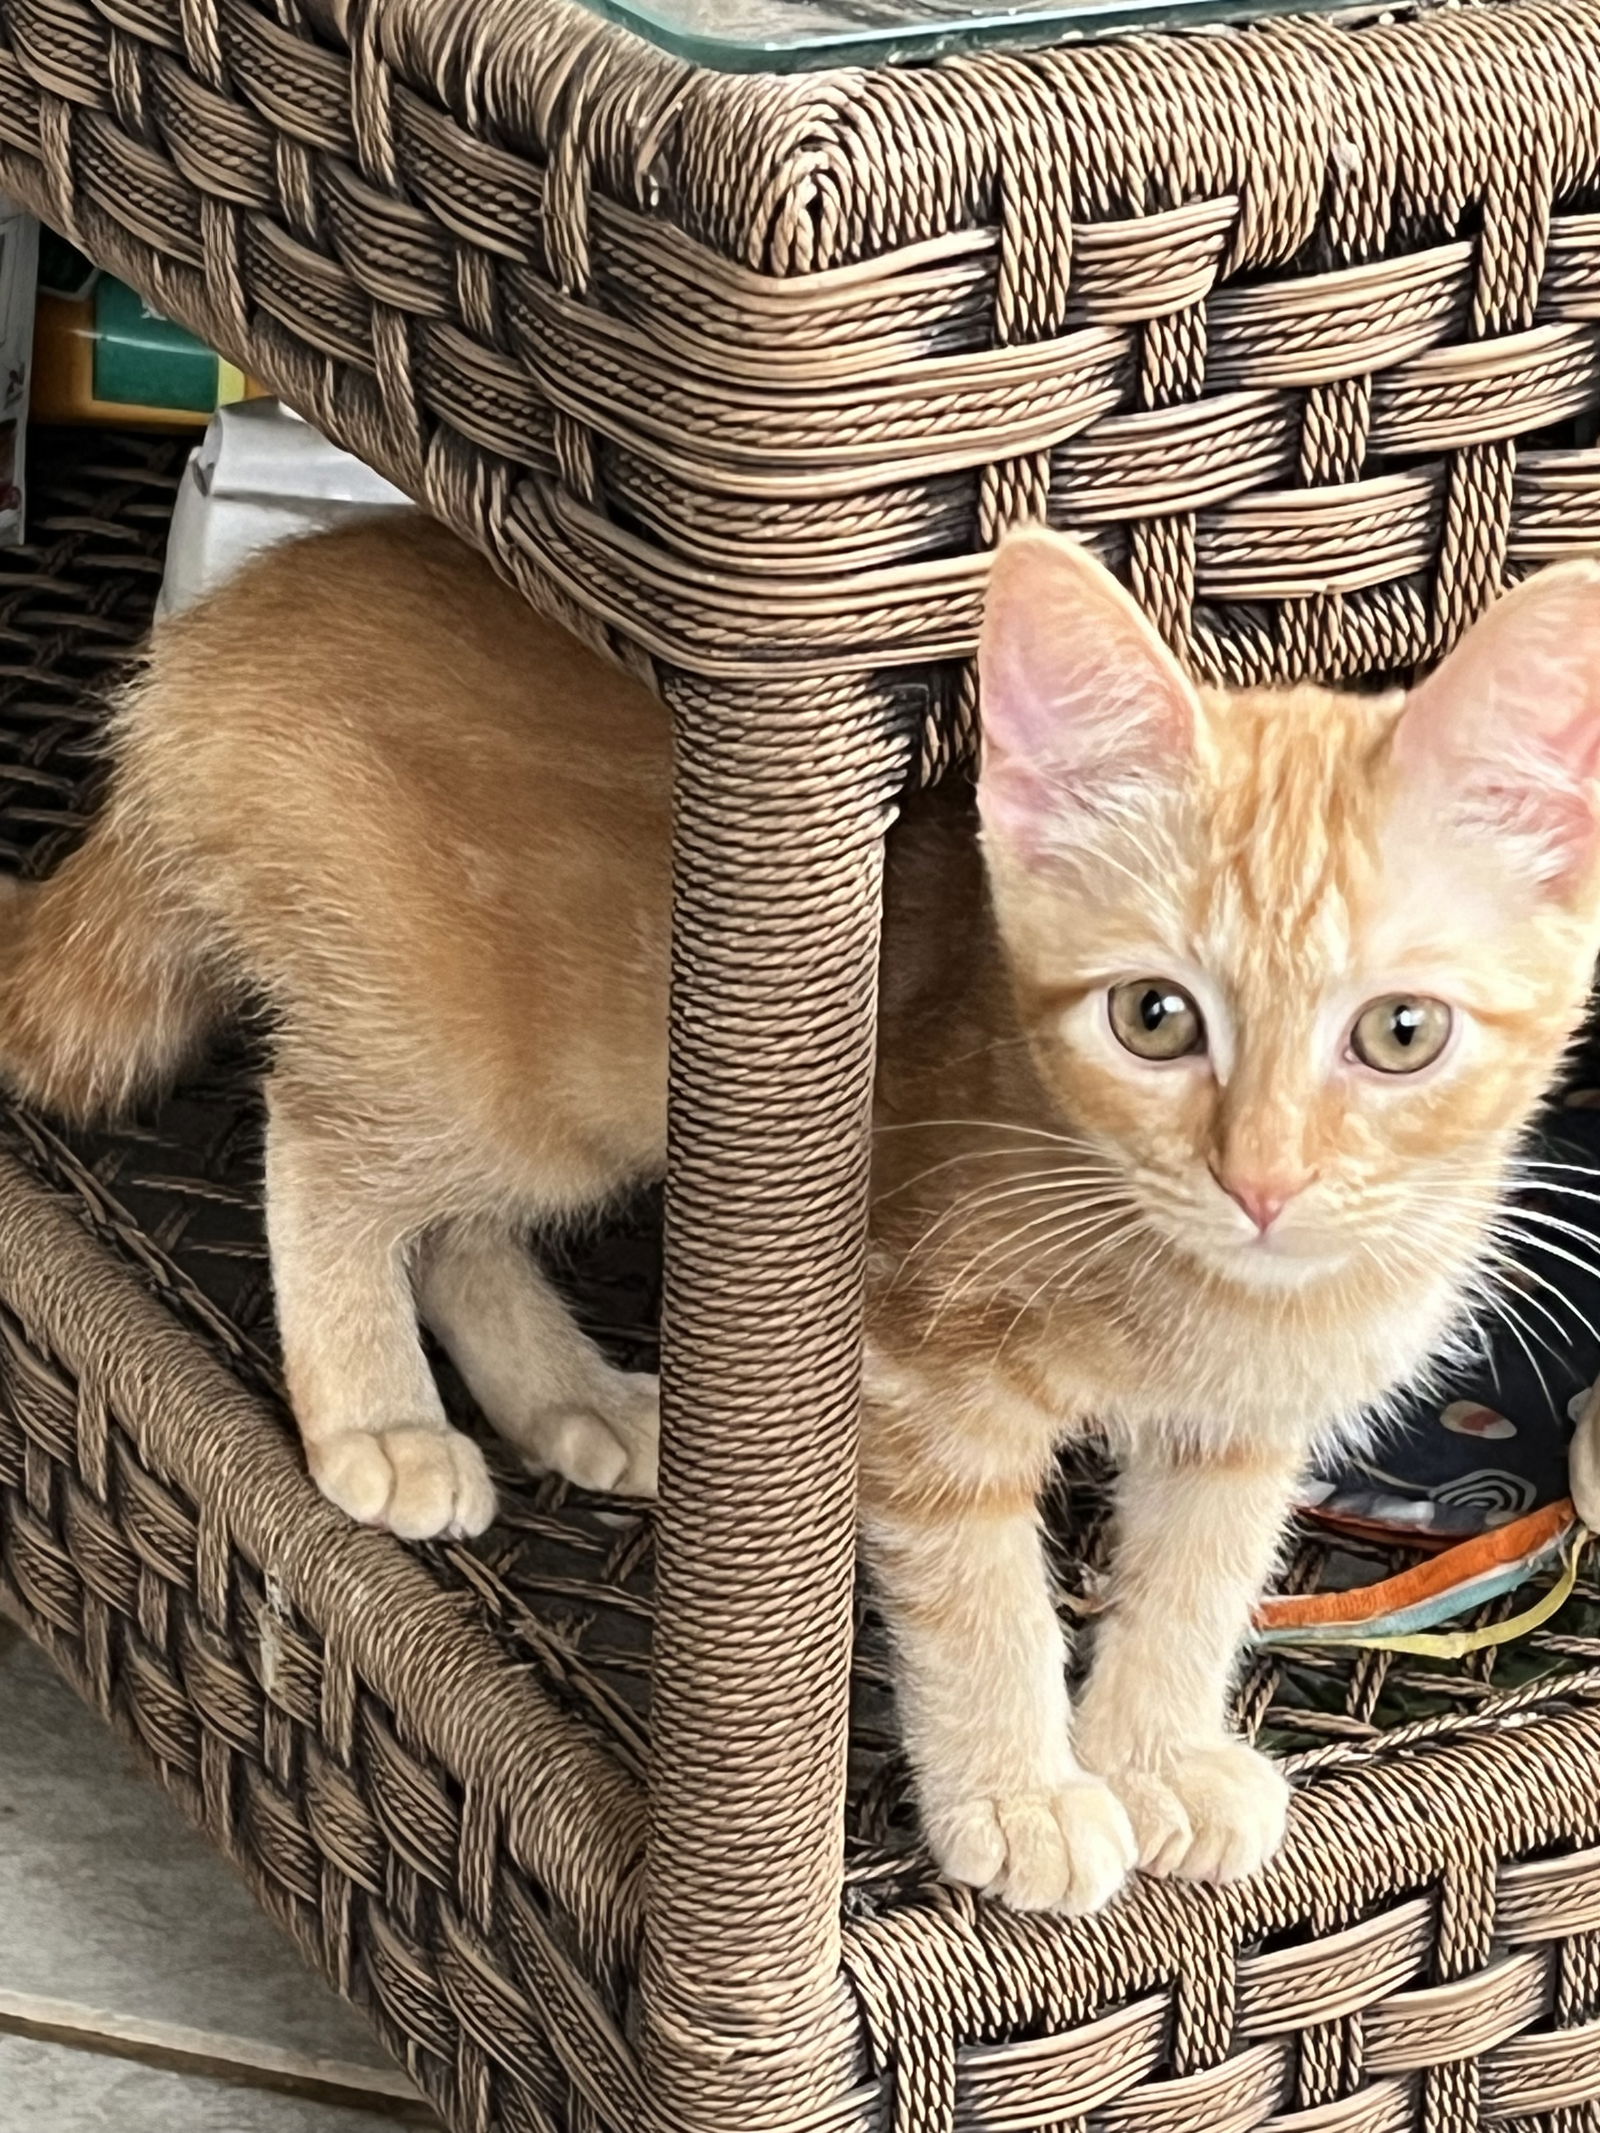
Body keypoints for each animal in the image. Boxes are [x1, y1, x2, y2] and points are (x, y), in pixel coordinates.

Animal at [3, 520, 1600, 1919]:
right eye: (1154, 1016)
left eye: (1400, 1033)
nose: (1260, 1181)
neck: (1211, 1282)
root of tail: (218, 631)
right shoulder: (916, 1373)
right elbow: (983, 1592)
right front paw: (1021, 1791)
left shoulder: (1241, 1429)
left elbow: (1200, 1576)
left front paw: (1152, 1753)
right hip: (508, 1080)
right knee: (323, 1143)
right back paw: (381, 1421)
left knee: (454, 1228)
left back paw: (575, 1401)